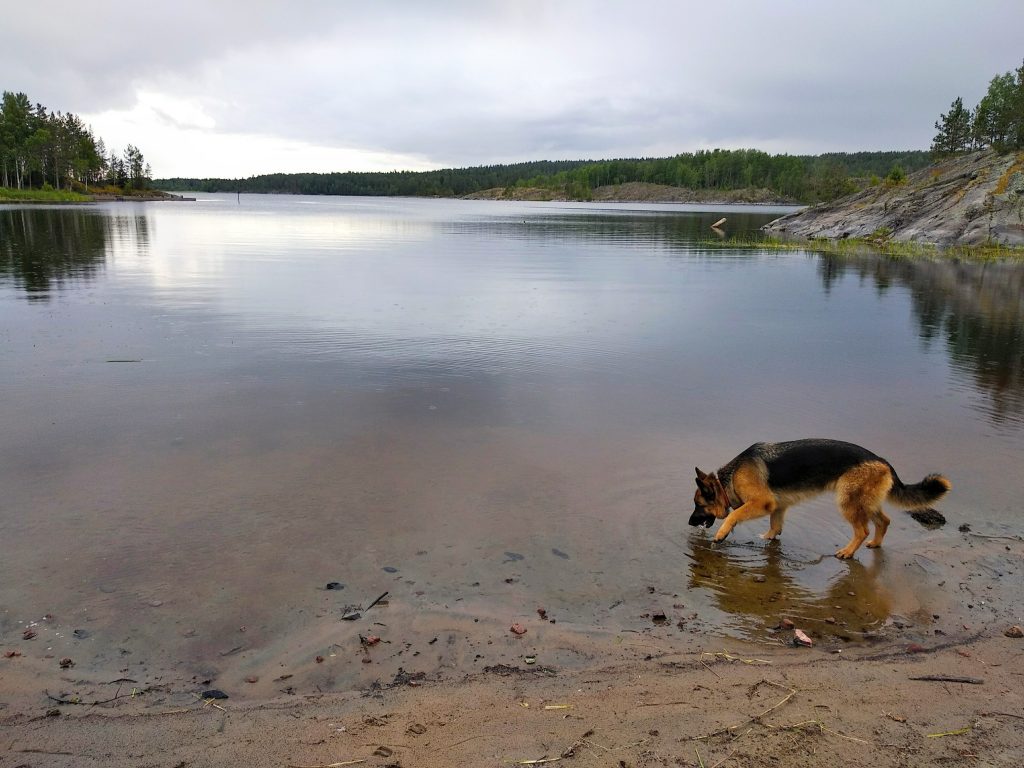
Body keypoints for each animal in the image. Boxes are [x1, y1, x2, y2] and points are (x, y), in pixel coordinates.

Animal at [692, 438, 946, 561]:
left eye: (698, 505)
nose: (689, 523)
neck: (730, 477)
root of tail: (882, 461)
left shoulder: (762, 502)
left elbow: (734, 514)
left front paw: (721, 534)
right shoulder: (778, 505)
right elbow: (775, 522)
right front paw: (770, 536)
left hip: (847, 502)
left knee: (862, 530)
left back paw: (848, 552)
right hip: (865, 502)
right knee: (884, 521)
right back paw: (875, 543)